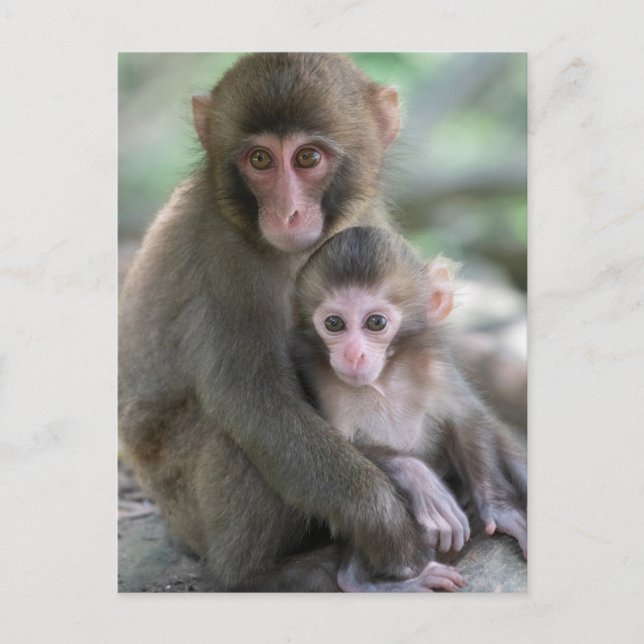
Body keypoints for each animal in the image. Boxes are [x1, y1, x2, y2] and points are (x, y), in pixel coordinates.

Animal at [119, 53, 440, 592]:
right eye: (260, 161)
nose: (287, 212)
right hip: (184, 503)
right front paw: (389, 532)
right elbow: (253, 401)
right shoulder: (223, 258)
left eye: (307, 158)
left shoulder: (366, 222)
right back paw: (258, 574)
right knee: (237, 434)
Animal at [291, 226, 527, 591]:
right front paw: (420, 480)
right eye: (334, 323)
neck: (384, 380)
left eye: (375, 323)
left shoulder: (435, 367)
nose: (353, 354)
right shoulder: (319, 378)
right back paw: (368, 581)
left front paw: (501, 510)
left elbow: (467, 419)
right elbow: (329, 448)